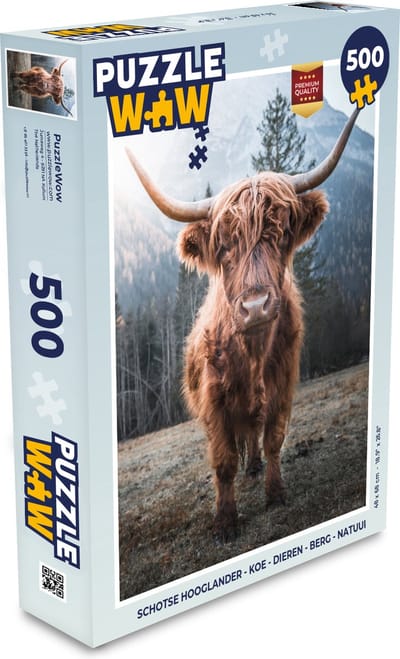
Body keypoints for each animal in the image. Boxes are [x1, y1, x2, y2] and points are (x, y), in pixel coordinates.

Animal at [126, 107, 360, 541]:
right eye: (223, 246)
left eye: (280, 232)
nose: (255, 306)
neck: (251, 352)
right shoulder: (214, 401)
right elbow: (223, 461)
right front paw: (225, 521)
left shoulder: (283, 384)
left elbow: (274, 440)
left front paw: (275, 492)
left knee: (253, 434)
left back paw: (254, 468)